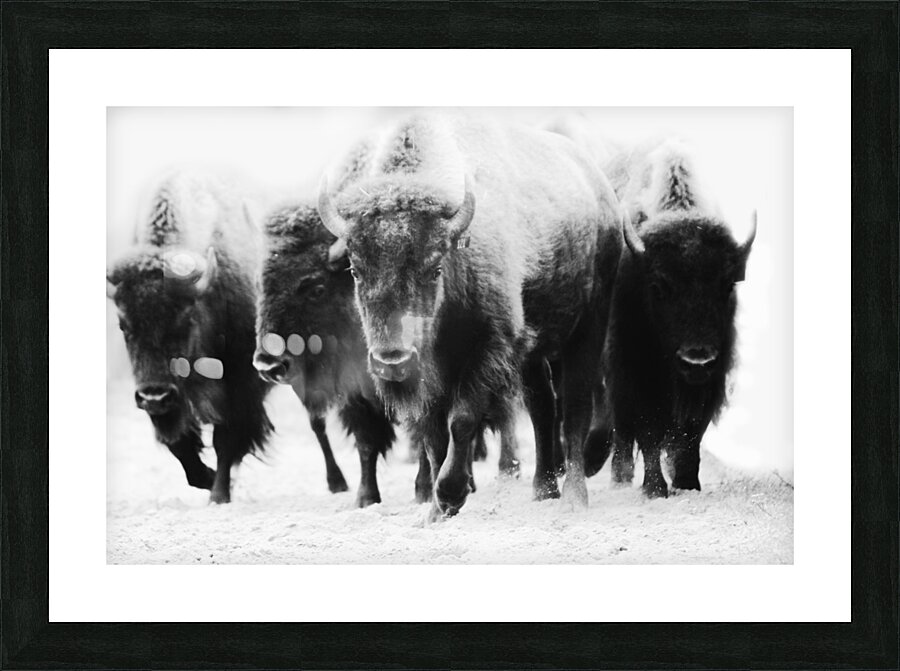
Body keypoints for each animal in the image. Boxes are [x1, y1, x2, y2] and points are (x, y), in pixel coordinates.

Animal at [107, 171, 272, 503]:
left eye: (184, 320)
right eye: (123, 325)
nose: (153, 396)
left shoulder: (241, 384)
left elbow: (226, 439)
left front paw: (218, 494)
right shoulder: (172, 400)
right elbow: (180, 445)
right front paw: (208, 479)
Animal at [317, 114, 622, 519]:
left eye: (434, 268)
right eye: (354, 269)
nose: (392, 362)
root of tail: (600, 187)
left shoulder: (486, 351)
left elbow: (460, 421)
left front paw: (451, 494)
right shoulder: (434, 376)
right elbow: (433, 438)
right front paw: (435, 510)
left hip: (587, 327)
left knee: (574, 406)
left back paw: (574, 496)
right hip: (533, 350)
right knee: (542, 407)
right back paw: (543, 489)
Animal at [593, 140, 756, 496]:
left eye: (727, 284)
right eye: (658, 286)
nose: (696, 360)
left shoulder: (712, 377)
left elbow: (691, 434)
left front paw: (687, 483)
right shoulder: (635, 374)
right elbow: (648, 431)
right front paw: (654, 488)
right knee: (622, 431)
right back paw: (621, 477)